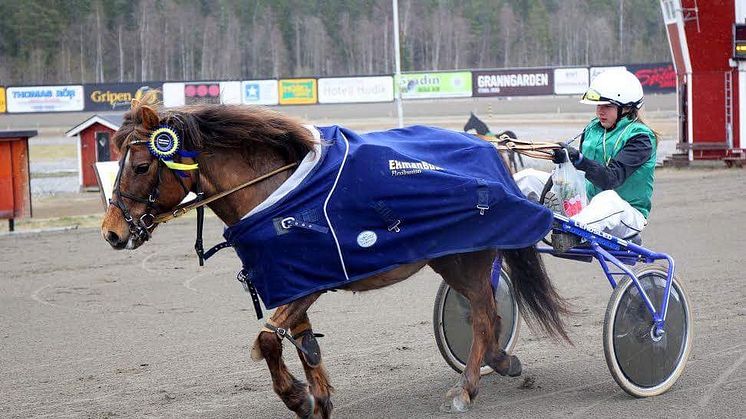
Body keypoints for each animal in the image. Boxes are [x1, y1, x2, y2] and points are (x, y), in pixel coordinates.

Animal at [101, 97, 568, 418]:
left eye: (140, 166)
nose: (112, 232)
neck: (277, 194)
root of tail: (491, 152)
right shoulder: (291, 278)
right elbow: (303, 344)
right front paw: (317, 397)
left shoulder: (313, 278)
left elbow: (268, 340)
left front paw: (297, 397)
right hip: (453, 255)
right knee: (487, 314)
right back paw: (501, 361)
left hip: (464, 257)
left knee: (486, 315)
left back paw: (468, 387)